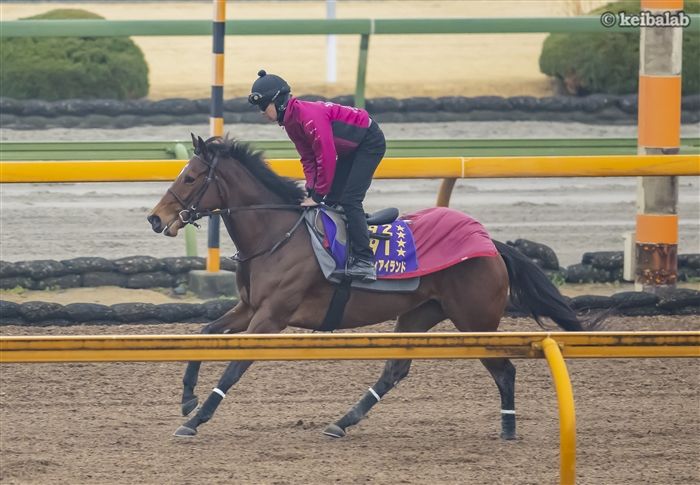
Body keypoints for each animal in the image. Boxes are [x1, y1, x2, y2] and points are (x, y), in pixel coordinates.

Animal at [147, 135, 599, 439]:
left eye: (190, 178)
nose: (154, 219)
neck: (277, 234)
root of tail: (490, 242)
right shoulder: (248, 309)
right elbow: (204, 333)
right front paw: (187, 398)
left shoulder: (272, 318)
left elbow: (235, 366)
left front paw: (195, 419)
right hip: (420, 313)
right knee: (395, 370)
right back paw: (342, 422)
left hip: (475, 320)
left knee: (504, 370)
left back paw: (507, 429)